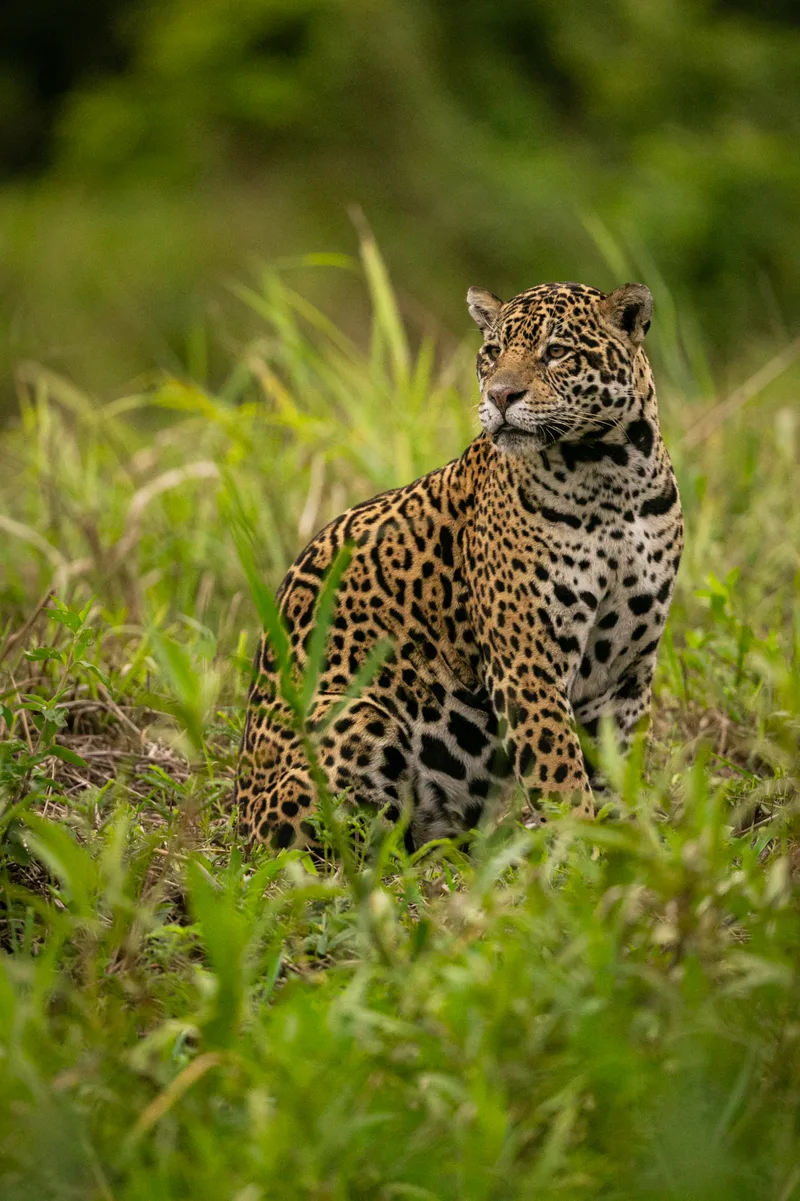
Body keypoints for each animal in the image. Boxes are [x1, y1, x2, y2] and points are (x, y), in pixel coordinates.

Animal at [235, 280, 683, 852]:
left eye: (556, 352)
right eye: (492, 353)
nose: (500, 397)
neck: (611, 478)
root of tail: (236, 816)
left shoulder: (627, 671)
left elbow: (616, 769)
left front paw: (629, 847)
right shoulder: (525, 665)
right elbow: (559, 772)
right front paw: (583, 849)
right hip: (356, 714)